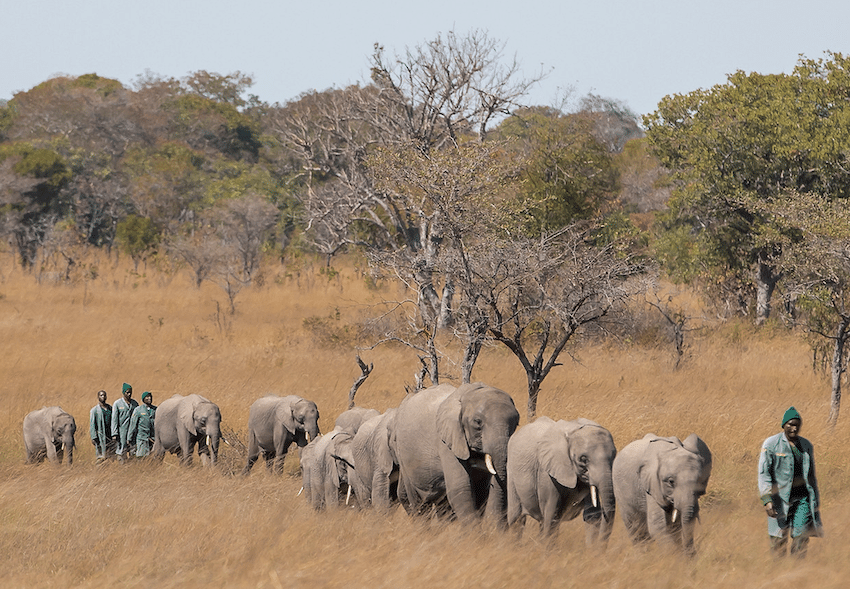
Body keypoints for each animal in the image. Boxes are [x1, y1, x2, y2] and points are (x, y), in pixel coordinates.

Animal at [391, 382, 520, 525]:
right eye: (477, 422)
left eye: (517, 422)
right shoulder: (446, 442)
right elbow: (460, 487)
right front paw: (475, 531)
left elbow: (482, 491)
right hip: (401, 454)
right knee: (418, 503)